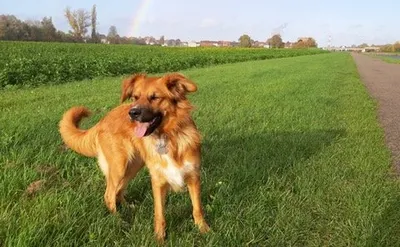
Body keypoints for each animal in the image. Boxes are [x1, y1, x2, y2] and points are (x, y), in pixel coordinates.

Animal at [59, 72, 211, 242]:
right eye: (135, 97)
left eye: (155, 97)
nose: (132, 113)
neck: (168, 136)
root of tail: (103, 120)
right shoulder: (158, 181)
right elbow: (159, 214)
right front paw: (159, 238)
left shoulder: (193, 176)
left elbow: (197, 208)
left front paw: (204, 230)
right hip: (119, 166)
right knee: (109, 195)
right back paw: (118, 220)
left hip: (132, 166)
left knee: (118, 191)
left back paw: (127, 208)